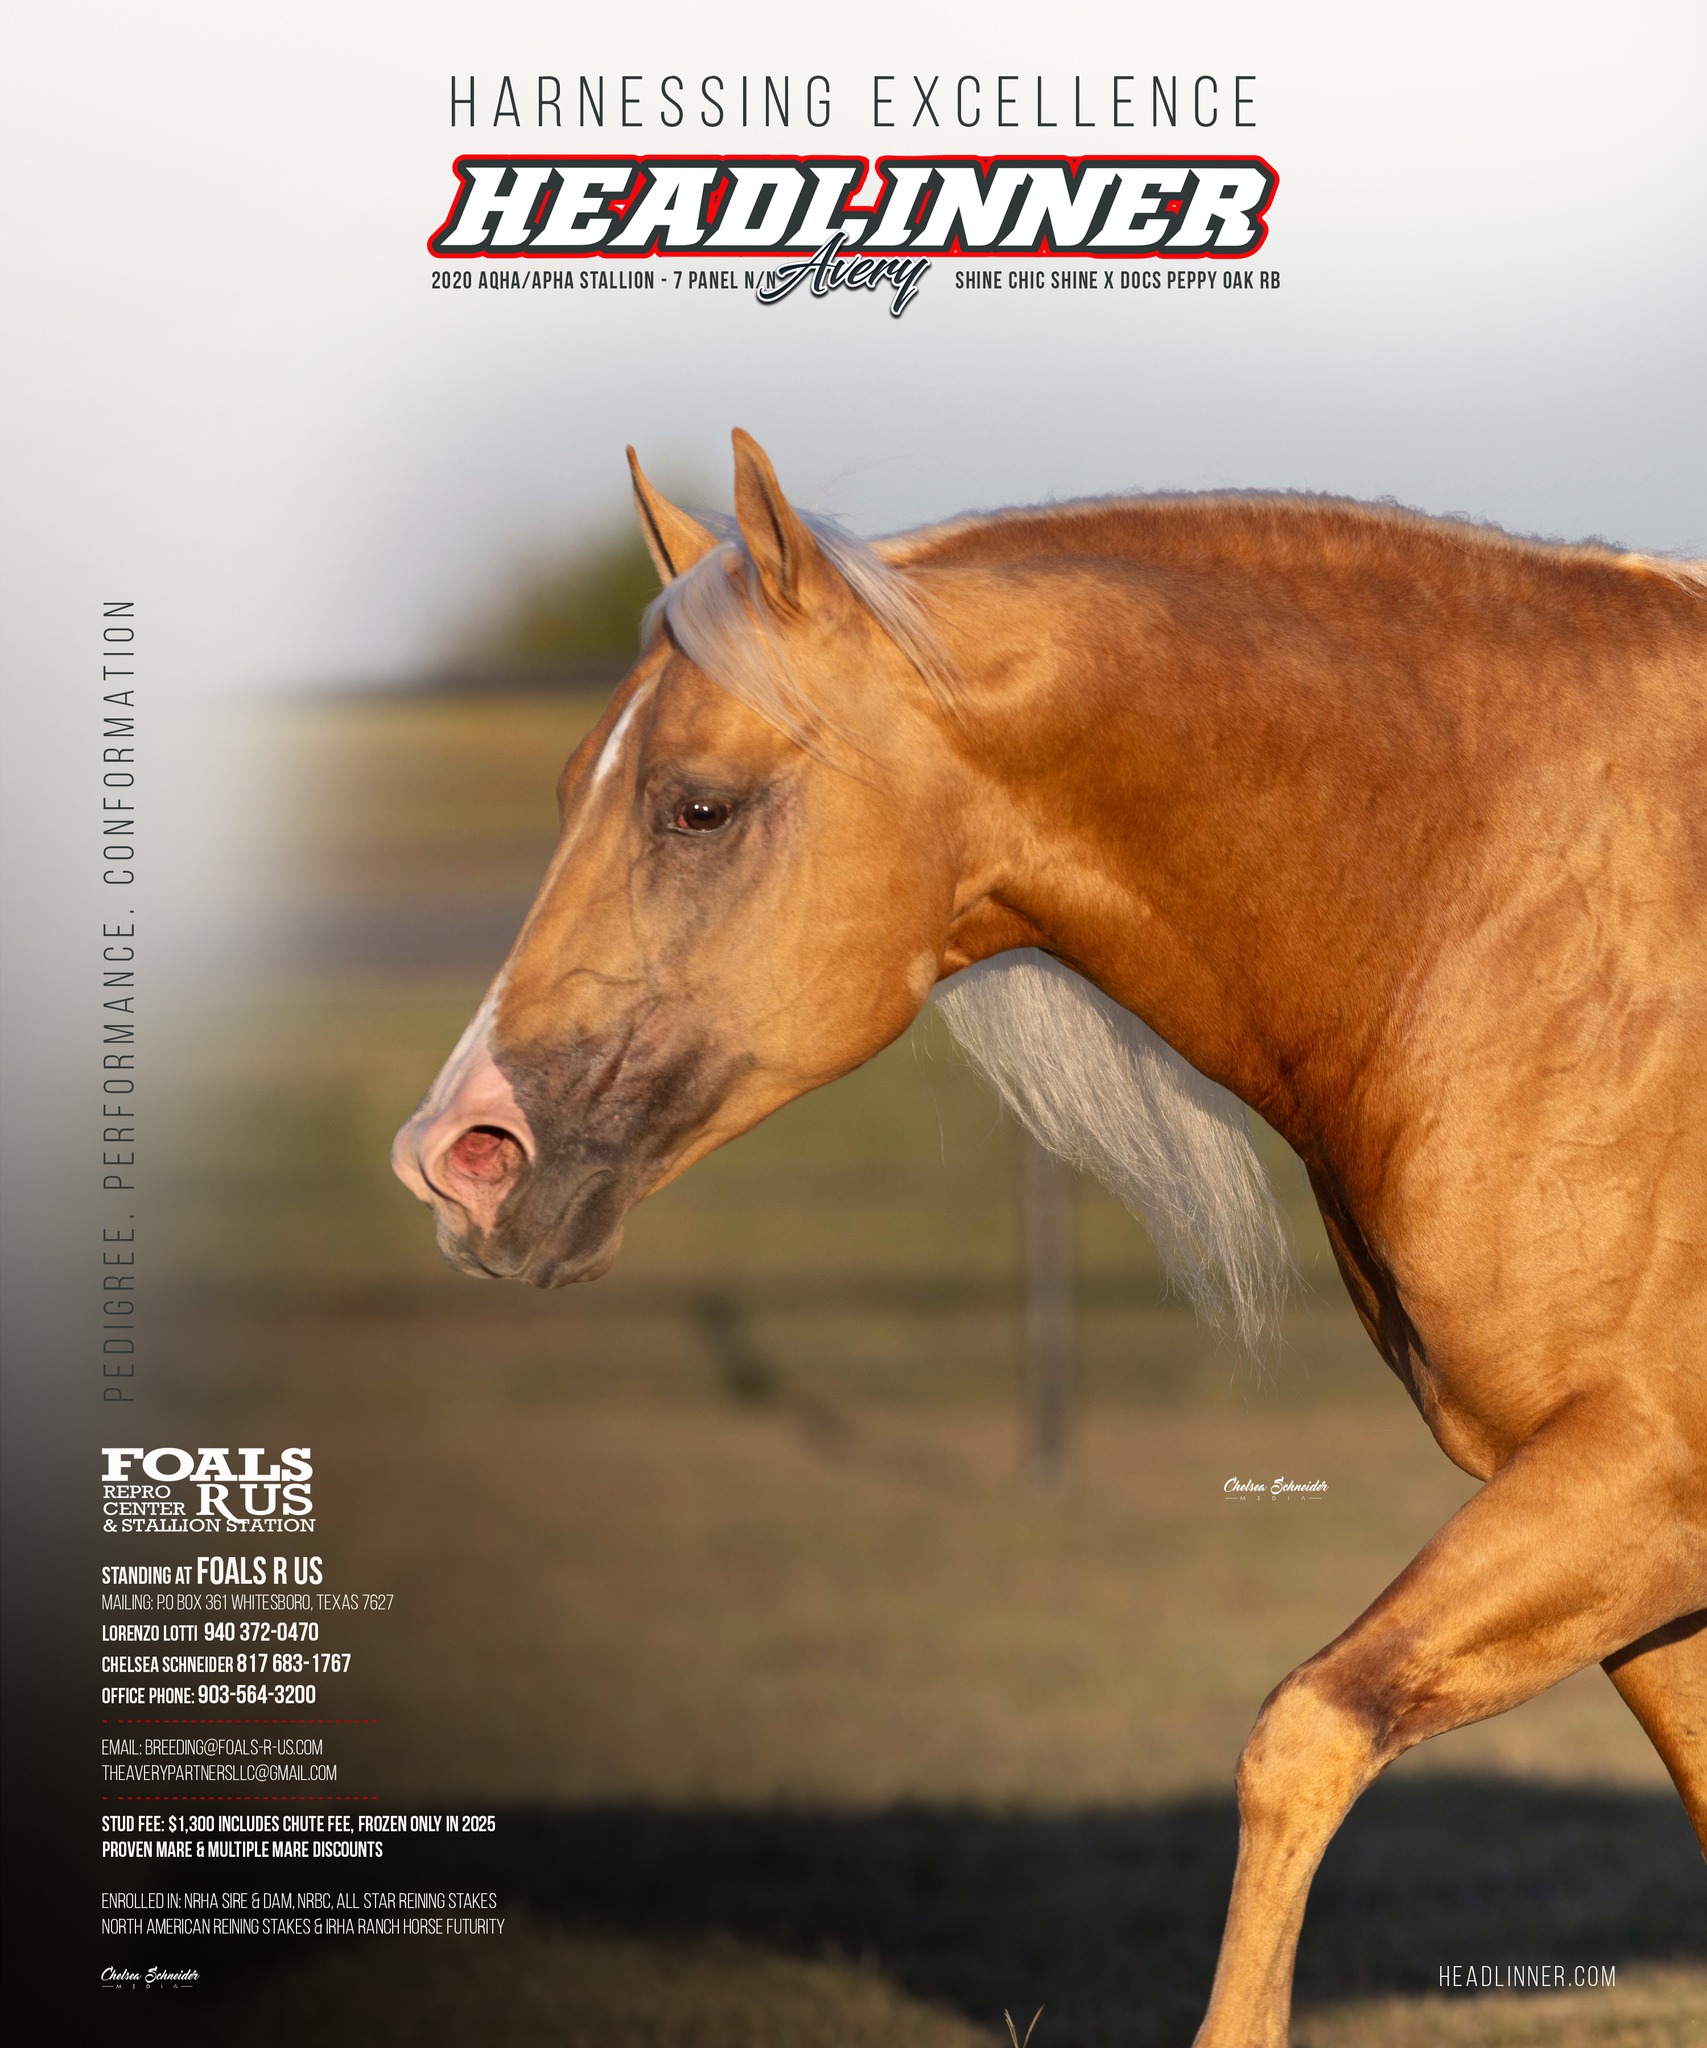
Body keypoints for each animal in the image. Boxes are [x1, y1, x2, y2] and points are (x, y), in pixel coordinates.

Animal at [392, 431, 1706, 2046]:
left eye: (697, 807)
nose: (456, 1155)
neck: (1530, 914)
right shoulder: (1630, 1521)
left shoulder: (1636, 1472)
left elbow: (1304, 1728)